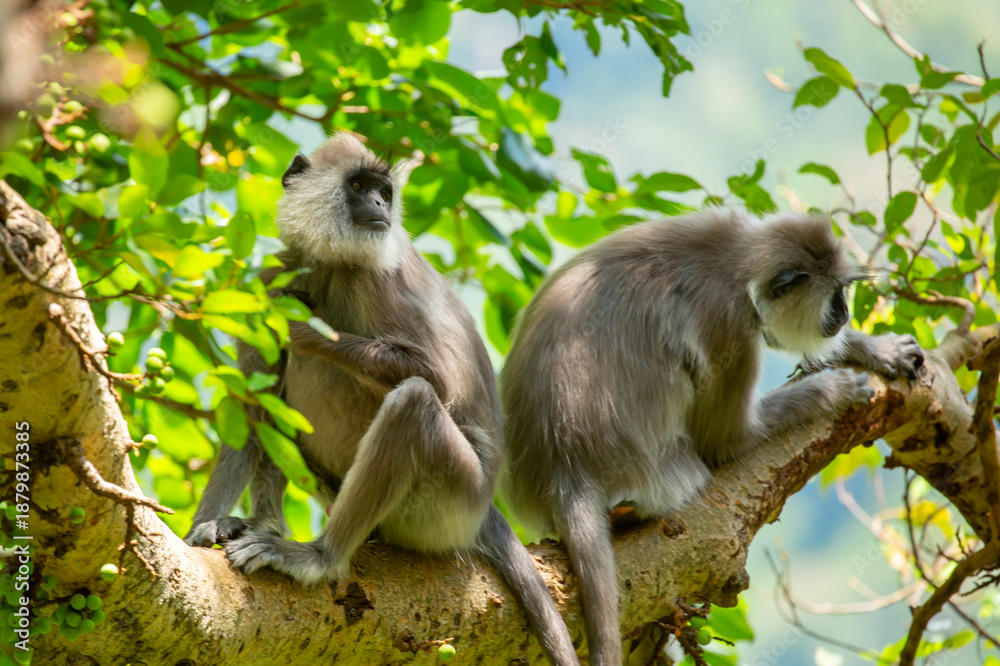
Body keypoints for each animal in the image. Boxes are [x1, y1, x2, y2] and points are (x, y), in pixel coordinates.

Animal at [184, 132, 579, 665]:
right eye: (358, 186)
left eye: (384, 193)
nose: (377, 206)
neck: (331, 264)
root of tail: (485, 508)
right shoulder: (272, 275)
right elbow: (250, 402)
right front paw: (203, 527)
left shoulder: (376, 277)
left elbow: (437, 380)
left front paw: (303, 327)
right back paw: (264, 523)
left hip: (450, 498)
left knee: (412, 401)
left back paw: (319, 558)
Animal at [497, 210, 925, 665]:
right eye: (835, 297)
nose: (844, 314)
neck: (735, 260)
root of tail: (565, 467)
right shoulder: (729, 320)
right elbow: (727, 441)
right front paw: (831, 389)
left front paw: (877, 350)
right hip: (660, 473)